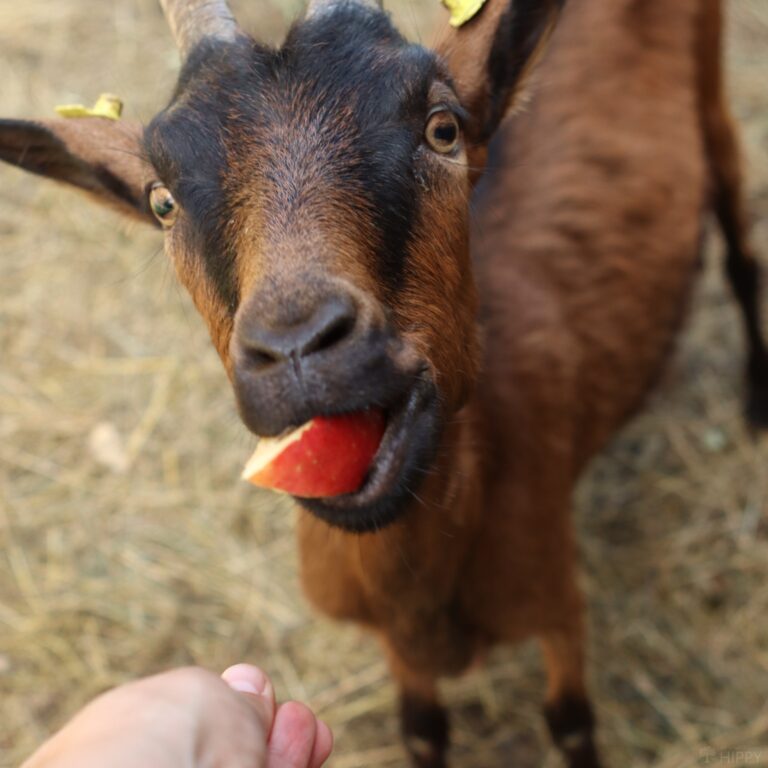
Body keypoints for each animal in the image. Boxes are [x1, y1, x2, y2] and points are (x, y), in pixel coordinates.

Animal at [1, 0, 765, 765]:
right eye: (162, 201)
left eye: (443, 128)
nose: (299, 347)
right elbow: (422, 730)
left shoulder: (556, 600)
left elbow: (572, 723)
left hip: (714, 97)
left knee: (737, 232)